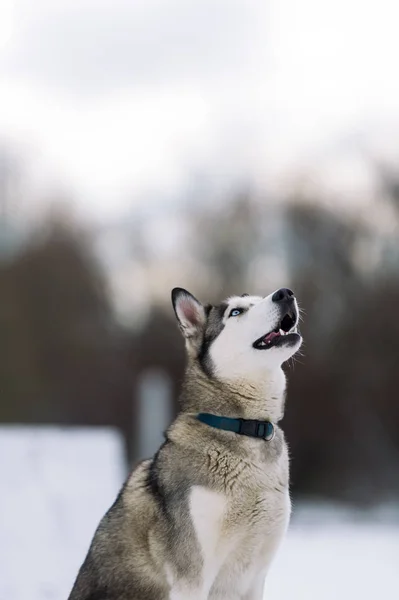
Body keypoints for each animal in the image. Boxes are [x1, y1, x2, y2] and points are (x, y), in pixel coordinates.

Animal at [69, 286, 302, 600]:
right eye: (236, 312)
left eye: (258, 299)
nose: (285, 293)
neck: (243, 427)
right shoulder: (192, 577)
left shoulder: (254, 579)